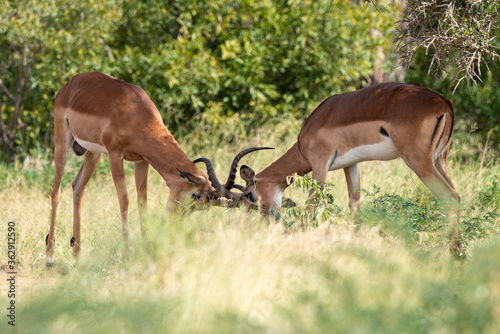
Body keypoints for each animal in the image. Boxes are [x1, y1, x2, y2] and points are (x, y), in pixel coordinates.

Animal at [45, 72, 268, 264]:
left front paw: (146, 249)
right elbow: (124, 200)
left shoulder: (141, 160)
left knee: (77, 188)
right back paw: (50, 258)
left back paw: (77, 255)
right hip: (63, 142)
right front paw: (127, 253)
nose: (173, 219)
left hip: (93, 153)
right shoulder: (115, 155)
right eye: (194, 195)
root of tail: (69, 85)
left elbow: (142, 201)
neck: (135, 112)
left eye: (202, 207)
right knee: (56, 191)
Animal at [224, 83, 460, 214]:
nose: (266, 218)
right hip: (439, 160)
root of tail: (444, 103)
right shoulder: (351, 165)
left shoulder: (320, 162)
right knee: (457, 197)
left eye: (249, 195)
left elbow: (312, 203)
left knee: (449, 198)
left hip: (419, 162)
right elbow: (354, 205)